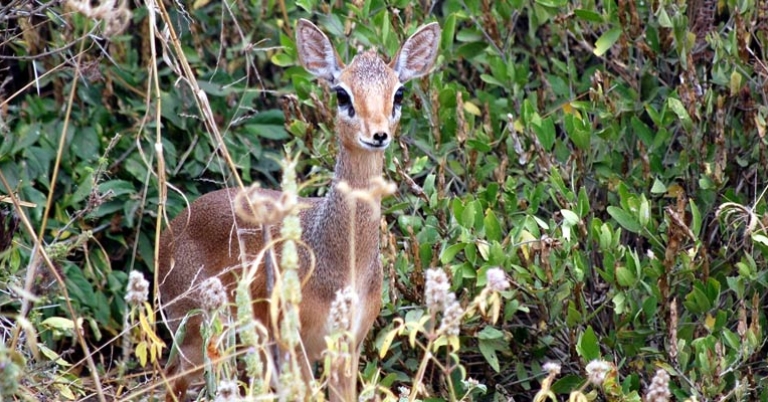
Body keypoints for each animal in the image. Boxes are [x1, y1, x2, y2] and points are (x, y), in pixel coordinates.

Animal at [157, 18, 440, 401]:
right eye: (342, 93)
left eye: (398, 93)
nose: (378, 134)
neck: (344, 265)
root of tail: (170, 231)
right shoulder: (295, 345)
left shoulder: (348, 344)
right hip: (198, 332)